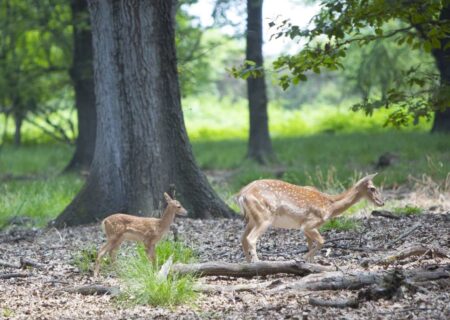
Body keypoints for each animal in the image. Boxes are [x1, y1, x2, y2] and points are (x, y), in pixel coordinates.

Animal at [236, 175, 384, 262]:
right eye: (372, 188)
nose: (382, 202)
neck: (330, 206)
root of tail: (241, 194)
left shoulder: (306, 227)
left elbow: (310, 244)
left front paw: (309, 263)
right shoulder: (309, 224)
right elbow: (322, 241)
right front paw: (303, 258)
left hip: (252, 219)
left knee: (243, 238)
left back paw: (248, 263)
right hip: (264, 217)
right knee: (251, 238)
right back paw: (258, 262)